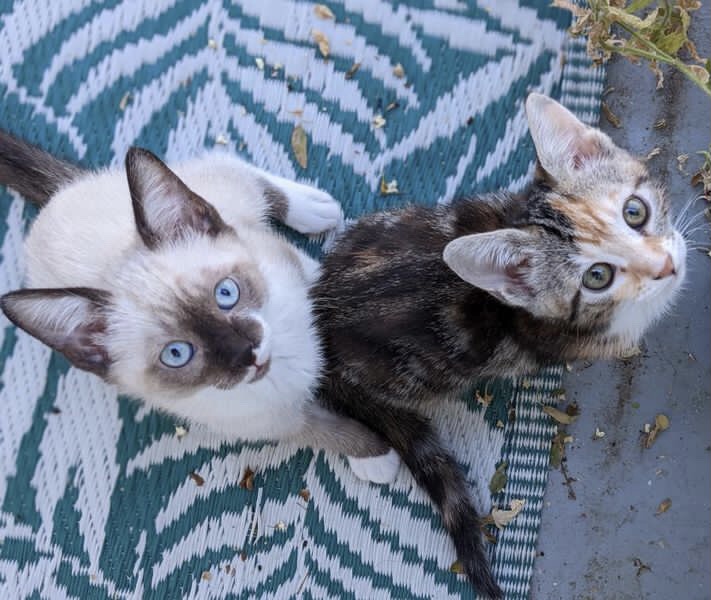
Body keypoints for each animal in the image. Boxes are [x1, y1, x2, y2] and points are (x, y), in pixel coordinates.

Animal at [0, 132, 400, 482]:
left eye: (226, 293)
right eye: (177, 354)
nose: (249, 353)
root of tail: (58, 196)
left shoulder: (286, 263)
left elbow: (318, 285)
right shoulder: (280, 423)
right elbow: (332, 433)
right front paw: (376, 458)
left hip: (226, 196)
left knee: (233, 168)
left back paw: (315, 208)